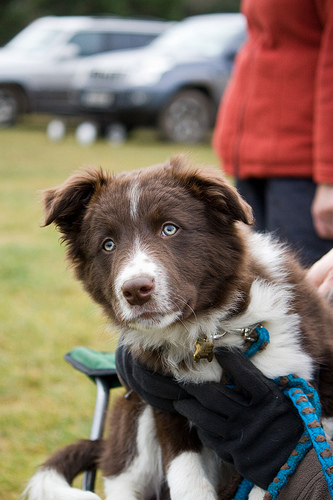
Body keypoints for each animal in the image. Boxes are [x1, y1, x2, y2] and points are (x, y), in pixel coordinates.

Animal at [24, 156, 332, 500]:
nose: (135, 290)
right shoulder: (166, 402)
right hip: (133, 414)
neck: (207, 329)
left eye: (169, 229)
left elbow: (269, 475)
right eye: (108, 245)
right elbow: (186, 477)